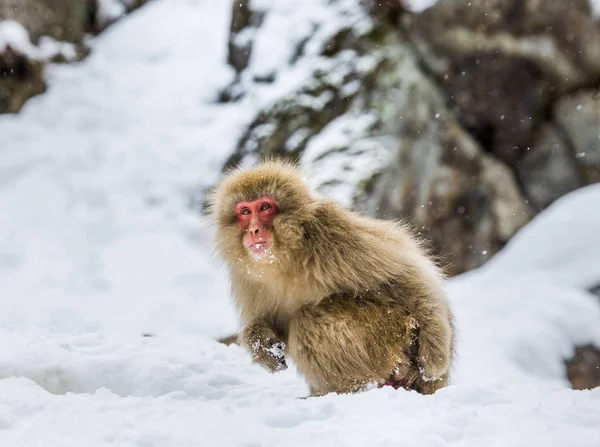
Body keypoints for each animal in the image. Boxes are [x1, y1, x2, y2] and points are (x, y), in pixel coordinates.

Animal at [209, 160, 452, 396]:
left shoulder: (330, 232)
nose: (254, 230)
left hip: (392, 333)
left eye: (265, 207)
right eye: (245, 212)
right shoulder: (246, 276)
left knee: (307, 320)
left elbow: (406, 274)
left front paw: (434, 357)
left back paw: (356, 389)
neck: (286, 256)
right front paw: (261, 343)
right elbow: (269, 321)